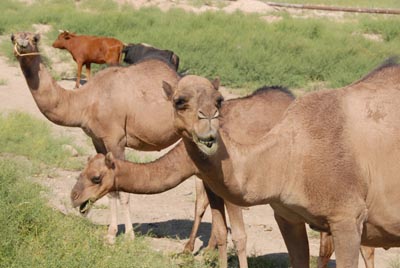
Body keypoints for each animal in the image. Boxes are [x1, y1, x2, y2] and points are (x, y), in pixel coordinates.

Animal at [10, 30, 247, 264]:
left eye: (35, 38)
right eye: (14, 36)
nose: (22, 43)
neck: (85, 101)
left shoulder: (115, 140)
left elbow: (121, 191)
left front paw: (125, 236)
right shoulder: (98, 141)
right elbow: (110, 189)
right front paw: (110, 235)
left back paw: (200, 249)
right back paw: (201, 249)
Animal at [72, 60, 400, 268]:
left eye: (218, 100)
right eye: (179, 101)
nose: (75, 197)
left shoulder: (347, 216)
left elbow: (238, 235)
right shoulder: (284, 214)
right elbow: (219, 230)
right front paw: (197, 254)